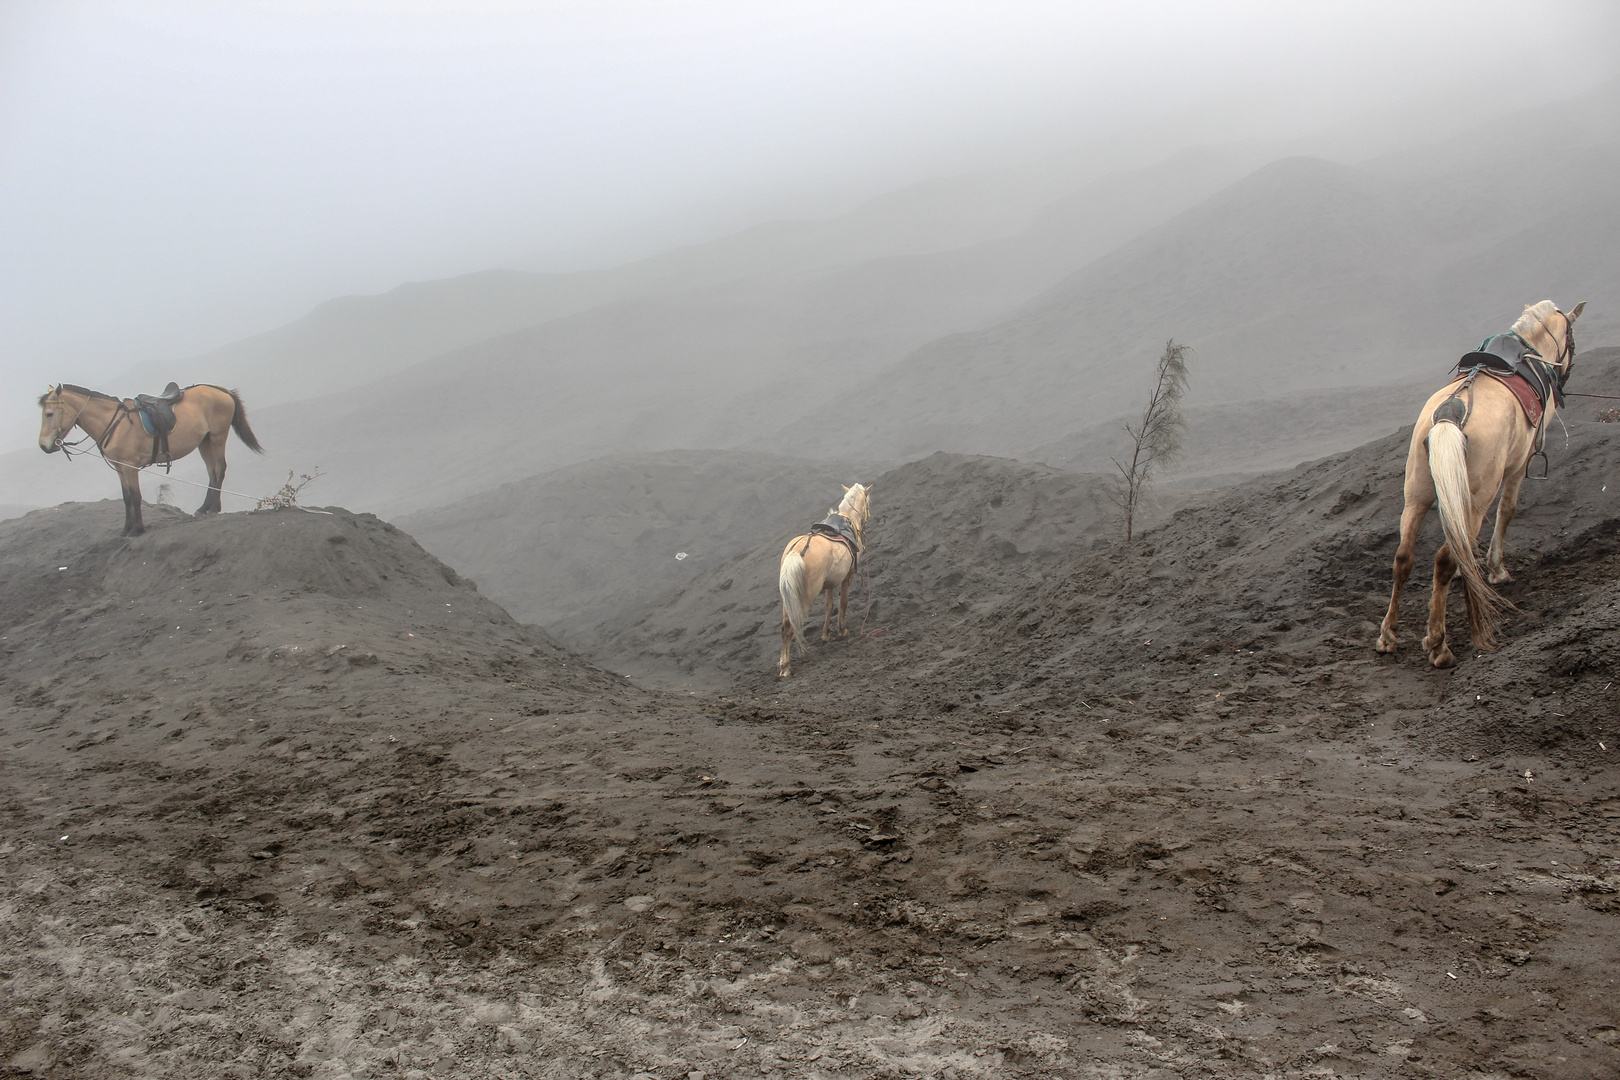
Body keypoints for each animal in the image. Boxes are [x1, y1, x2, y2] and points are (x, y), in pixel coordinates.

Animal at [37, 382, 262, 537]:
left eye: (49, 414)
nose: (44, 445)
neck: (115, 423)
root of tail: (221, 390)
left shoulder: (130, 467)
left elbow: (135, 497)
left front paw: (137, 529)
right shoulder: (121, 468)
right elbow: (127, 497)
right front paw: (127, 528)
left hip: (217, 437)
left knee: (220, 469)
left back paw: (213, 508)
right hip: (204, 442)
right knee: (212, 471)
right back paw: (205, 508)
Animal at [774, 482, 868, 676]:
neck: (848, 519)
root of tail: (796, 552)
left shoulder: (830, 583)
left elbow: (829, 606)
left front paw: (826, 634)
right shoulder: (847, 576)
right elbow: (843, 603)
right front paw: (842, 630)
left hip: (788, 599)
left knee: (784, 626)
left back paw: (783, 663)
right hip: (805, 597)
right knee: (790, 627)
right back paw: (786, 667)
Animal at [1373, 297, 1587, 667]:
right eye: (1571, 341)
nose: (1564, 376)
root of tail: (1450, 414)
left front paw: (1468, 567)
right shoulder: (1518, 466)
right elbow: (1507, 511)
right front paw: (1495, 569)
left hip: (1416, 496)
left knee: (1403, 558)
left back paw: (1389, 635)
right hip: (1477, 496)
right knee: (1442, 560)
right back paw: (1438, 643)